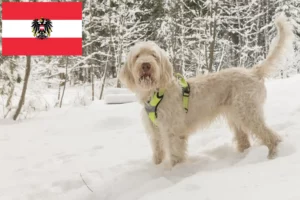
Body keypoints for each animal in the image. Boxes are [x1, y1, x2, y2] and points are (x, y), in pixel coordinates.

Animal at [118, 14, 294, 167]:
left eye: (154, 55)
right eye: (137, 56)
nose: (146, 65)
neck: (156, 93)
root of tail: (253, 71)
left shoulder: (173, 131)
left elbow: (175, 154)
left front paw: (175, 173)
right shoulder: (155, 132)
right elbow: (158, 152)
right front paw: (157, 168)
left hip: (248, 112)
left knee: (270, 135)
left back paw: (272, 155)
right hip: (236, 115)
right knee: (244, 139)